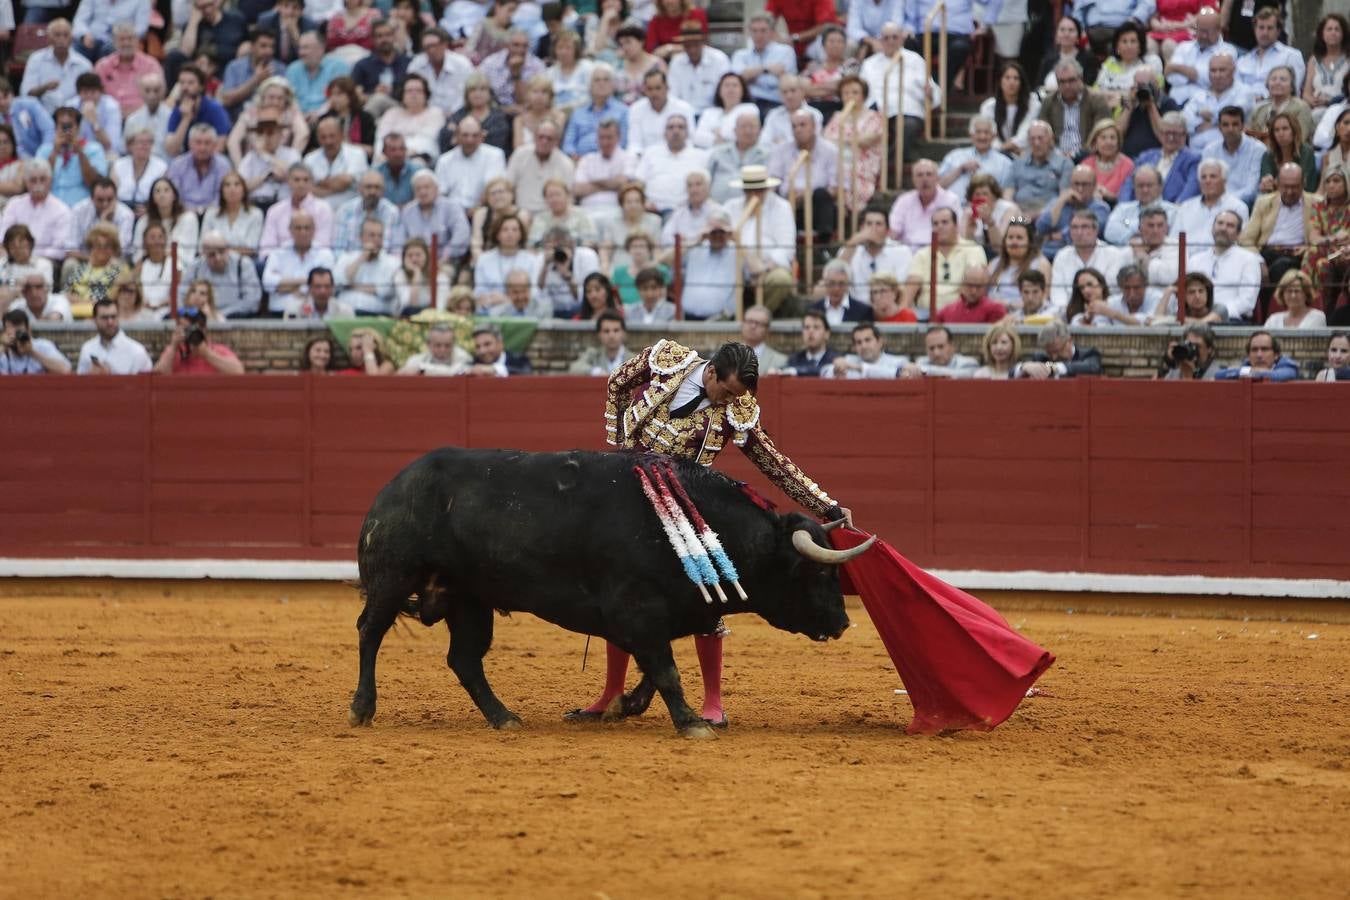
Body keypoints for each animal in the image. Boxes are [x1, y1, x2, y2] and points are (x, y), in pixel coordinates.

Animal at [348, 450, 874, 739]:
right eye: (818, 573)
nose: (842, 622)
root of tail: (396, 484)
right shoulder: (636, 611)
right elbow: (666, 670)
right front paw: (691, 724)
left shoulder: (659, 617)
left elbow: (656, 669)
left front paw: (629, 705)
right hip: (393, 576)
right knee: (370, 632)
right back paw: (362, 708)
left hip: (469, 598)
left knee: (464, 658)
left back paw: (505, 717)